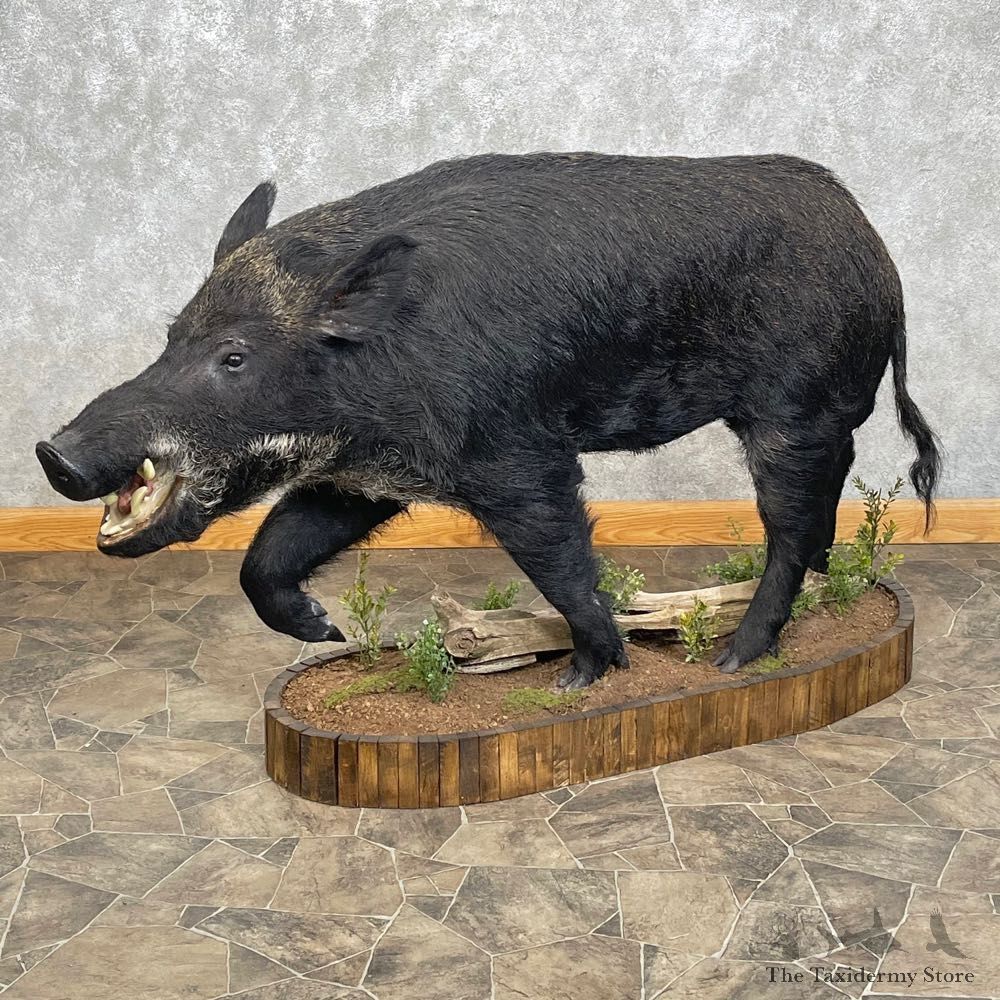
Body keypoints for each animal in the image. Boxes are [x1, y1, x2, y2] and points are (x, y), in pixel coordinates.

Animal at [36, 152, 940, 688]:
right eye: (171, 337)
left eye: (233, 357)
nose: (53, 451)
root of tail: (883, 259)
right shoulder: (364, 478)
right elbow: (265, 558)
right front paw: (327, 635)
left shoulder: (517, 455)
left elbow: (562, 560)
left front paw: (582, 677)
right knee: (820, 516)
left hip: (796, 411)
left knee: (790, 528)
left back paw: (729, 661)